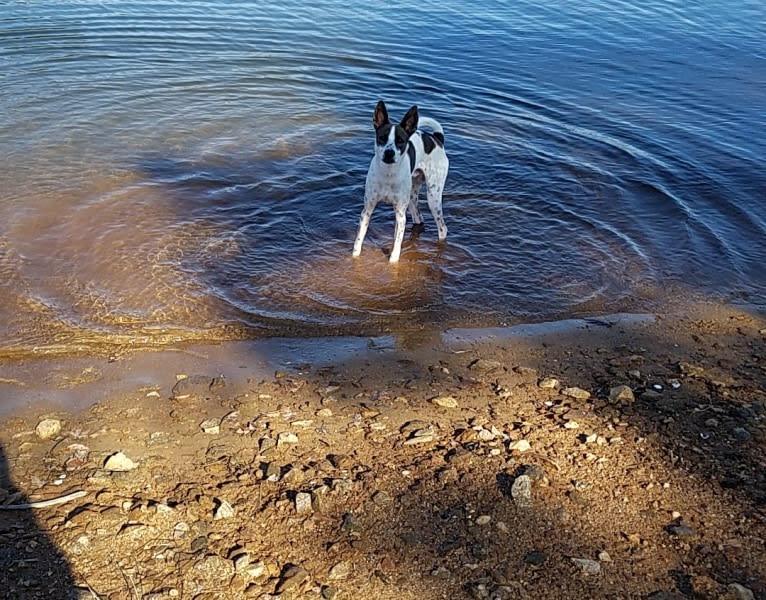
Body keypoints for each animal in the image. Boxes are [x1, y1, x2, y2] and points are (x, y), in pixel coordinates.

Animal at [354, 101, 450, 262]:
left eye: (400, 141)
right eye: (382, 138)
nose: (389, 153)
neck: (388, 174)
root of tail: (437, 139)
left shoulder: (400, 213)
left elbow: (397, 243)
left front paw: (393, 262)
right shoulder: (367, 209)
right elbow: (359, 239)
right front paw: (354, 258)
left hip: (433, 198)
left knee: (443, 228)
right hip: (412, 196)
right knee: (418, 218)